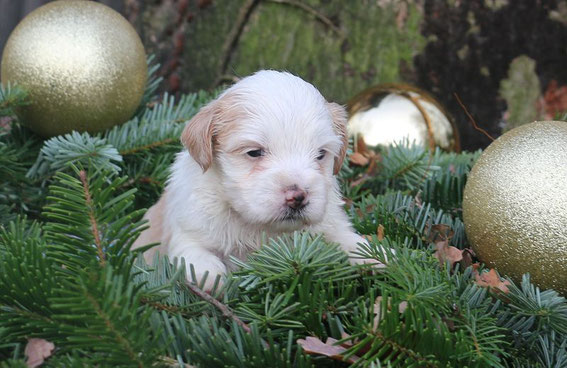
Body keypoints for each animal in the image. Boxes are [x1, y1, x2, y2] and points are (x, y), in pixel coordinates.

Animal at [134, 69, 372, 290]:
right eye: (254, 152)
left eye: (321, 154)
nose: (298, 197)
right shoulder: (189, 228)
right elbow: (195, 254)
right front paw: (210, 276)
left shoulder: (331, 224)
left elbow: (348, 240)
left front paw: (376, 255)